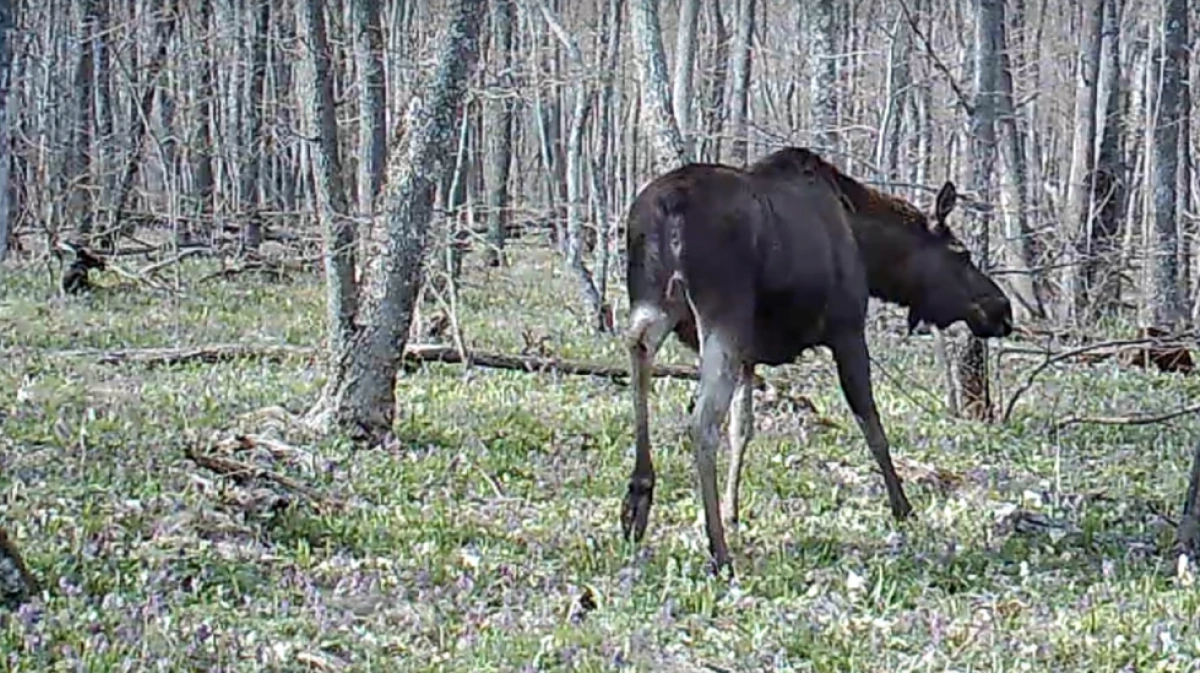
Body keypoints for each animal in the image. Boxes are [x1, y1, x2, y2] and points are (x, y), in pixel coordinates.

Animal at [619, 145, 1012, 571]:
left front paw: (732, 511)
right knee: (702, 421)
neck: (870, 252)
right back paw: (718, 550)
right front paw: (903, 508)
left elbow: (743, 429)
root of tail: (664, 213)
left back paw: (638, 499)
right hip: (722, 316)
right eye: (962, 254)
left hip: (654, 302)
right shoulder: (847, 330)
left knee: (639, 349)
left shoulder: (749, 356)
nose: (1003, 309)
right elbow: (871, 423)